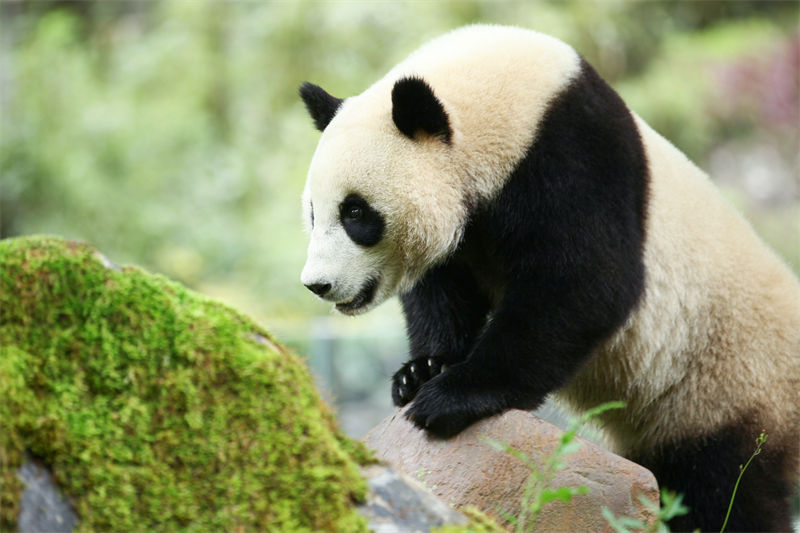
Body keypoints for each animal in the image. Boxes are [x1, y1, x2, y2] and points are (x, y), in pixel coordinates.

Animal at [298, 25, 800, 531]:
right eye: (313, 212)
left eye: (356, 212)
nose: (317, 284)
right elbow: (443, 287)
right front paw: (421, 371)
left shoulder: (572, 155)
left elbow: (584, 285)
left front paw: (451, 396)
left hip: (724, 381)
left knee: (722, 487)